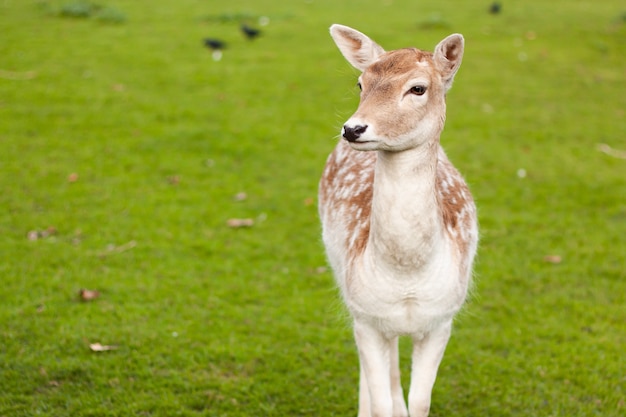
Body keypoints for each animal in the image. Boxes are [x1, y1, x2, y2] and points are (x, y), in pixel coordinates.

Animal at [320, 23, 476, 416]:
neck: (407, 276)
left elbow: (419, 402)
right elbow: (384, 399)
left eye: (418, 88)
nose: (353, 129)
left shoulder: (442, 320)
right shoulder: (364, 316)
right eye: (361, 83)